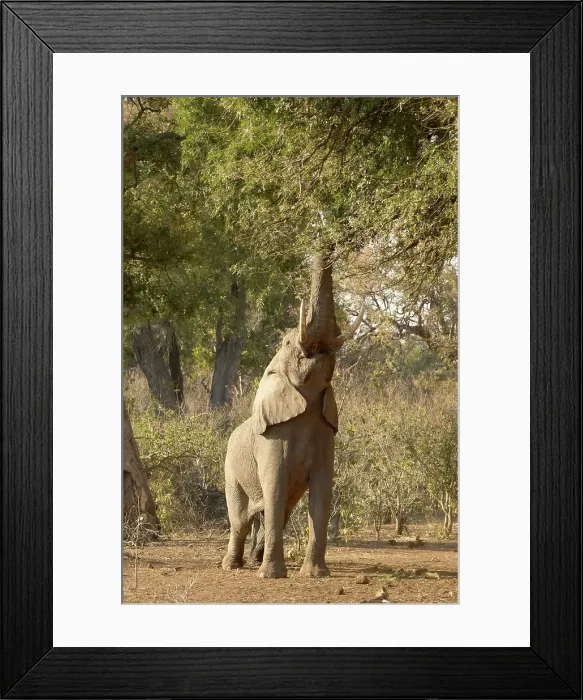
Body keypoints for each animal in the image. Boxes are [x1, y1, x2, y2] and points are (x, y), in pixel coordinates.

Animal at [222, 253, 364, 578]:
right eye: (287, 343)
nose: (321, 349)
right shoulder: (272, 439)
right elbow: (274, 485)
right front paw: (271, 576)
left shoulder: (325, 432)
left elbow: (323, 491)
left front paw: (316, 575)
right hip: (230, 470)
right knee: (240, 519)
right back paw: (232, 566)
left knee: (272, 513)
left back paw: (254, 561)